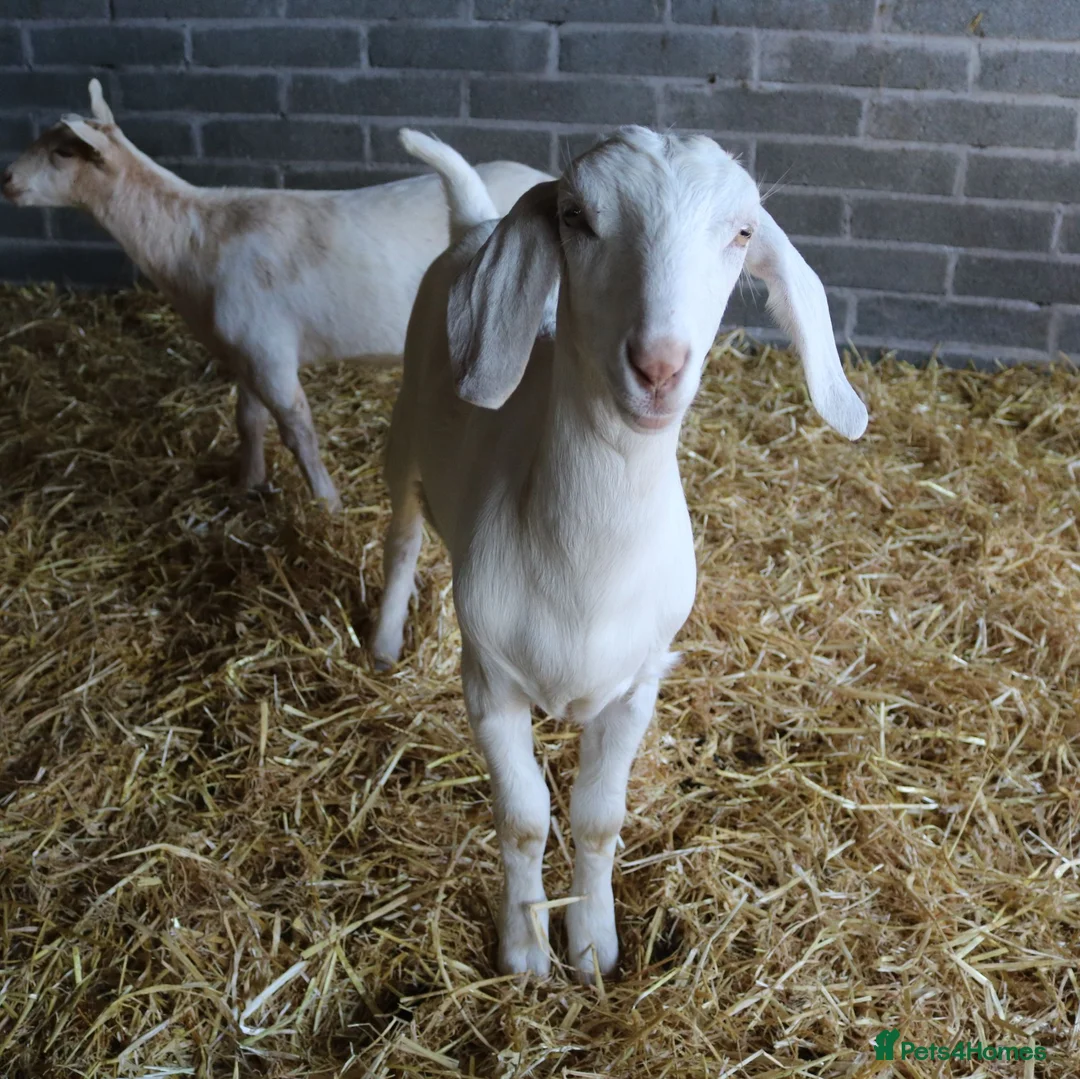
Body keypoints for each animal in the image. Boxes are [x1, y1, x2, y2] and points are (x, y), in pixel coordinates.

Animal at [1, 81, 551, 510]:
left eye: (63, 152)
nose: (6, 179)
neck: (195, 238)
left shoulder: (269, 351)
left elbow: (298, 431)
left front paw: (328, 505)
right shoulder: (245, 352)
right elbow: (248, 421)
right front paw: (248, 483)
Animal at [372, 127, 868, 981]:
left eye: (742, 233)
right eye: (576, 217)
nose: (658, 365)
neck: (584, 570)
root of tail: (473, 224)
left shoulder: (637, 686)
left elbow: (599, 817)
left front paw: (594, 945)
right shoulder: (488, 680)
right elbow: (524, 817)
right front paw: (524, 949)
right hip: (406, 425)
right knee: (403, 530)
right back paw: (383, 638)